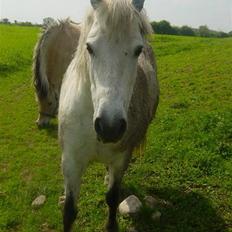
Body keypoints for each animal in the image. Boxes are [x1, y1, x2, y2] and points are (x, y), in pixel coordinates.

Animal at [59, 0, 159, 231]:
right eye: (89, 47)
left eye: (138, 49)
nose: (109, 127)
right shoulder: (71, 162)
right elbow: (69, 211)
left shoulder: (121, 159)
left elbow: (112, 199)